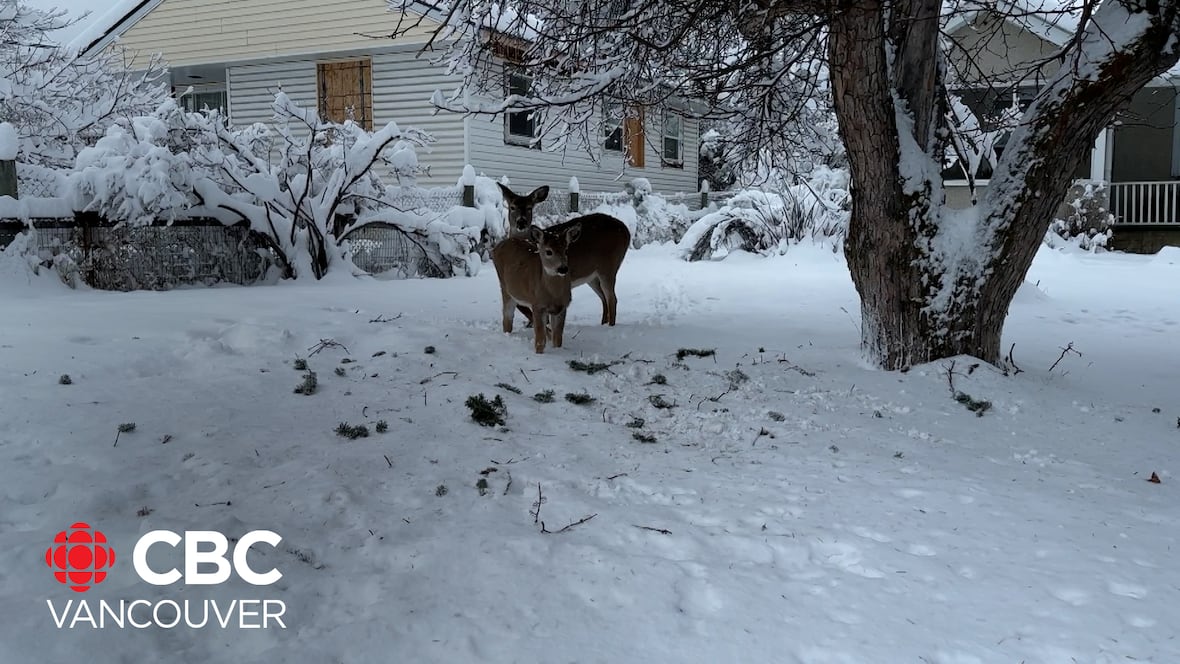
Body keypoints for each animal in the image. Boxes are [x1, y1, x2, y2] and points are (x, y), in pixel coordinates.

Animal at [490, 222, 582, 356]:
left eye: (566, 250)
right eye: (548, 252)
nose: (563, 268)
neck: (553, 295)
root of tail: (497, 246)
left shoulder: (563, 306)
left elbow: (558, 338)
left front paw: (557, 350)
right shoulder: (538, 305)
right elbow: (540, 339)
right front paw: (539, 355)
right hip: (505, 287)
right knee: (507, 318)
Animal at [495, 181, 632, 327]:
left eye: (529, 208)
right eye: (512, 207)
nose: (521, 222)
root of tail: (626, 232)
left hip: (608, 266)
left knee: (612, 298)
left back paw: (610, 326)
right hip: (592, 276)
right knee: (604, 298)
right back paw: (602, 323)